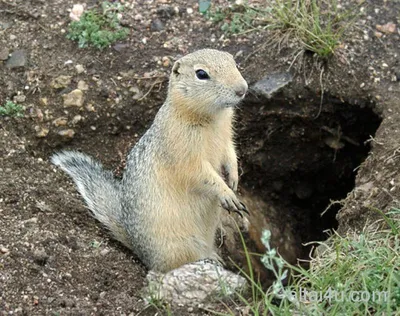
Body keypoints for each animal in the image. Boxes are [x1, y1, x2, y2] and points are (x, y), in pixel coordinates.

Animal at [51, 48, 248, 272]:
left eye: (234, 62)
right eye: (201, 74)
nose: (242, 89)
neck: (212, 118)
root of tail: (136, 245)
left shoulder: (226, 137)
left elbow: (230, 154)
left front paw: (233, 179)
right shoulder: (184, 152)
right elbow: (200, 174)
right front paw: (226, 193)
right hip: (178, 246)